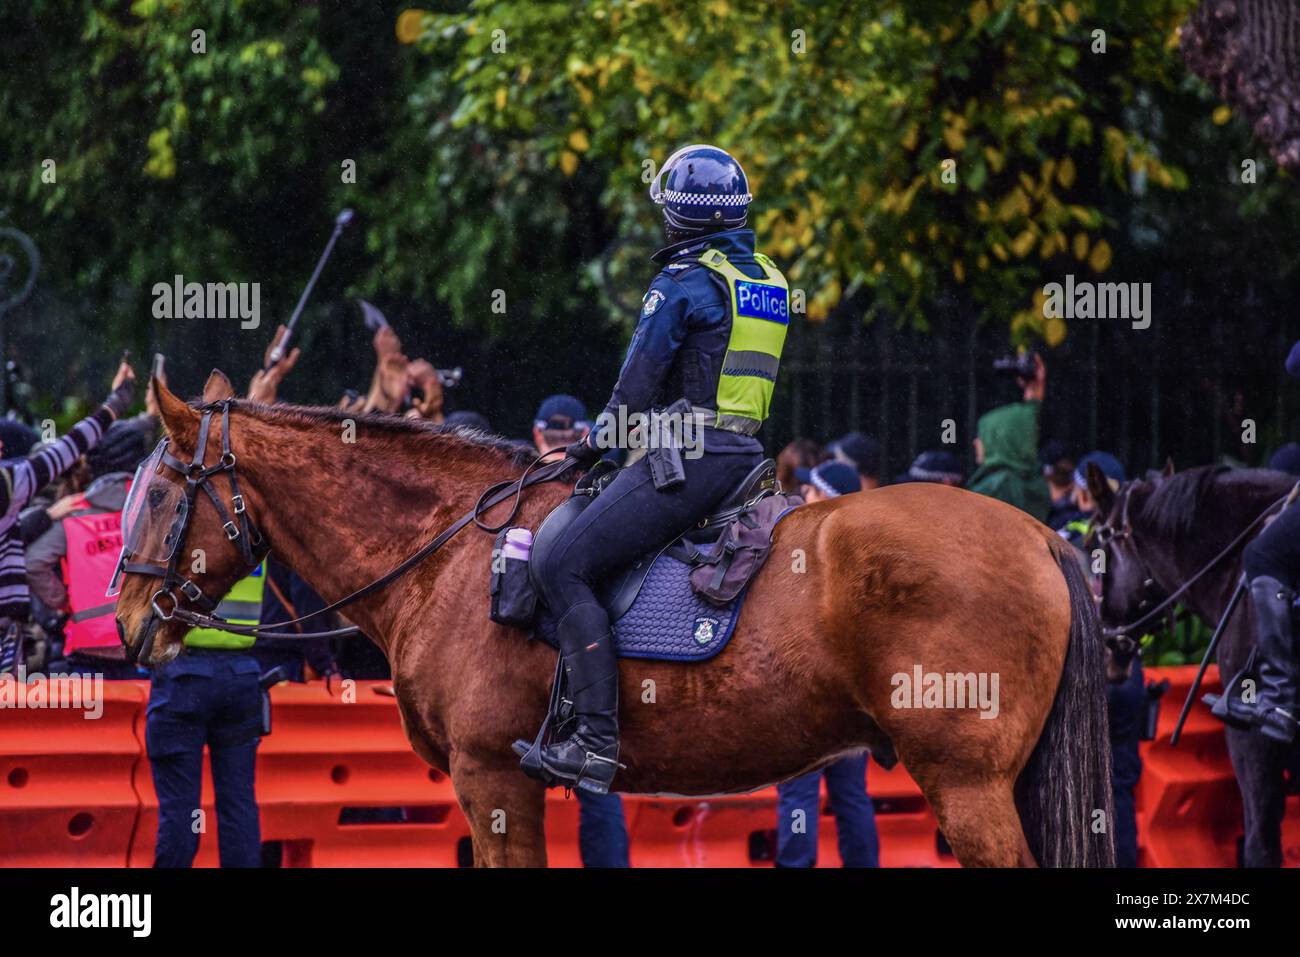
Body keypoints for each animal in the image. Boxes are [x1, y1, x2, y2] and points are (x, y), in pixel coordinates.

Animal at [111, 374, 1112, 868]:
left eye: (158, 492)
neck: (447, 549)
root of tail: (1039, 535)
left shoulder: (493, 780)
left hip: (968, 785)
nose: (124, 619)